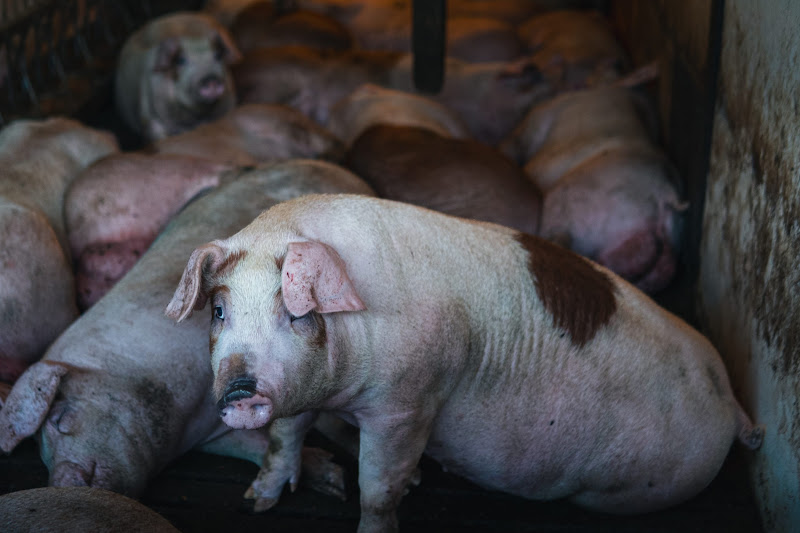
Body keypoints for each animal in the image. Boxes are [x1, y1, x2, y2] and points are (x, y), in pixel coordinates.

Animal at [166, 193, 763, 533]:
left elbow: (378, 488)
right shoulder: (302, 392)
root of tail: (731, 401)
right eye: (218, 310)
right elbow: (283, 438)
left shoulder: (407, 404)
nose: (240, 390)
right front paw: (254, 505)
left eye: (298, 313)